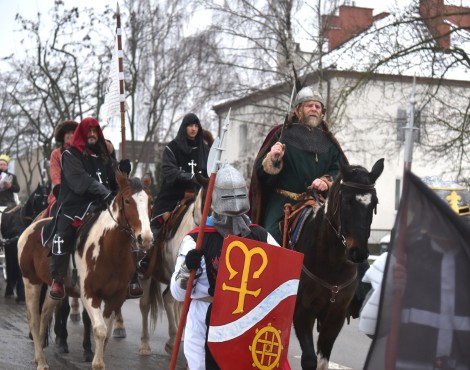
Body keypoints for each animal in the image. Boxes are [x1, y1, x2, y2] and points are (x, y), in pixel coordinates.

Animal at [17, 173, 152, 370]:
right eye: (127, 201)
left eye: (150, 202)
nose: (146, 238)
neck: (110, 250)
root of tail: (33, 226)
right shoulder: (89, 294)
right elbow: (100, 330)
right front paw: (96, 362)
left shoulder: (116, 297)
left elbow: (106, 333)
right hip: (31, 282)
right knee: (34, 320)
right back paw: (41, 362)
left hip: (53, 290)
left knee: (45, 315)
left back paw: (39, 354)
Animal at [292, 158, 384, 370]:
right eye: (347, 201)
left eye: (374, 203)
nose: (359, 253)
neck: (331, 263)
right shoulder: (302, 313)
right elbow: (309, 360)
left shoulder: (335, 317)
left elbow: (322, 361)